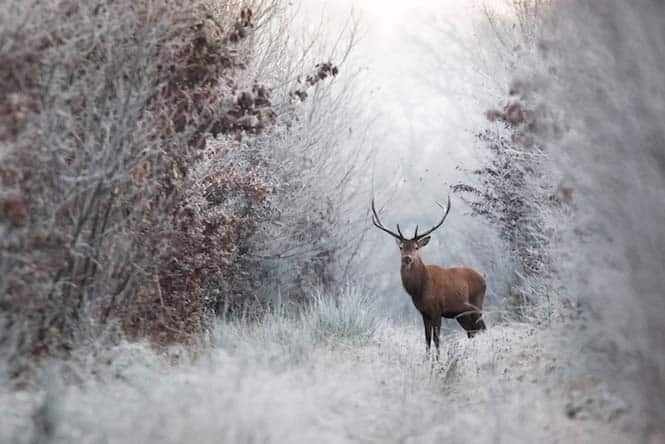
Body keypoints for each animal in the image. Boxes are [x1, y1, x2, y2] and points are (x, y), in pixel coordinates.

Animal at [370, 198, 486, 358]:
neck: (420, 288)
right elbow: (427, 339)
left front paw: (437, 361)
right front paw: (427, 360)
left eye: (416, 247)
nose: (407, 258)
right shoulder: (424, 312)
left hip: (476, 305)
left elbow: (437, 339)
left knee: (482, 329)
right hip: (462, 314)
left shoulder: (437, 310)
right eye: (401, 247)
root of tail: (484, 280)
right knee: (472, 331)